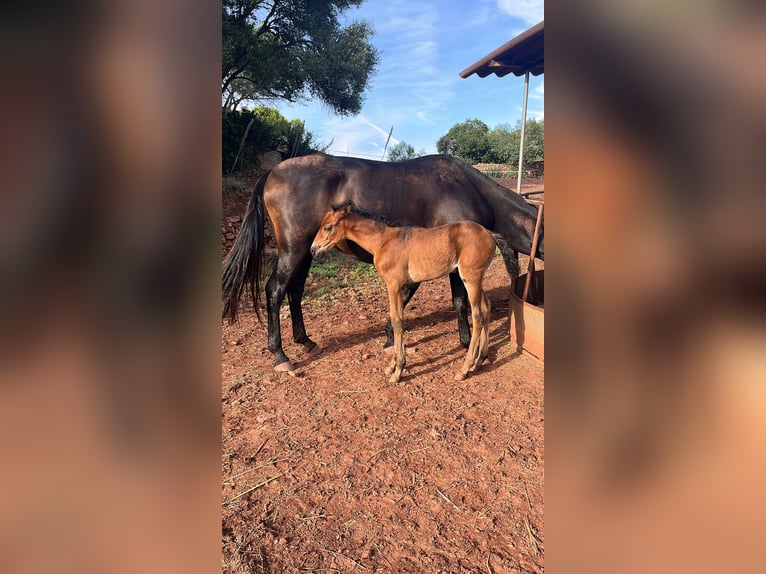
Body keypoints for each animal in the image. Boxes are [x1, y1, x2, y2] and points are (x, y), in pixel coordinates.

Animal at [312, 200, 498, 384]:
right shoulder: (399, 286)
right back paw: (480, 360)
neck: (383, 241)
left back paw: (464, 369)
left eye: (327, 227)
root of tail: (489, 234)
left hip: (470, 279)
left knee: (478, 317)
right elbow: (398, 319)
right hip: (475, 280)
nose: (314, 250)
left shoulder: (393, 284)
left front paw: (398, 370)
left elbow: (397, 321)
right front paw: (392, 366)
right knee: (486, 307)